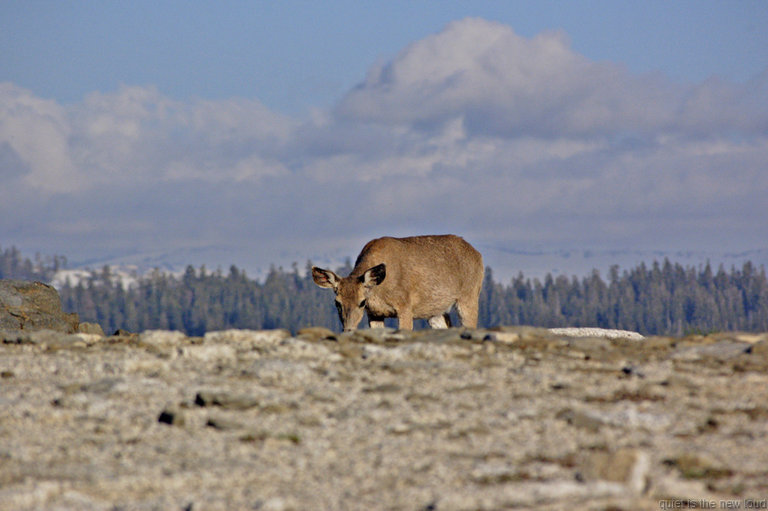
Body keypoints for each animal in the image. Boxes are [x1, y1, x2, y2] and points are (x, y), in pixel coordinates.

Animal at [310, 235, 480, 332]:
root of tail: (478, 254)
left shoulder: (405, 306)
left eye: (362, 302)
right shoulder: (374, 314)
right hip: (436, 311)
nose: (348, 330)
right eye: (337, 303)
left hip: (469, 294)